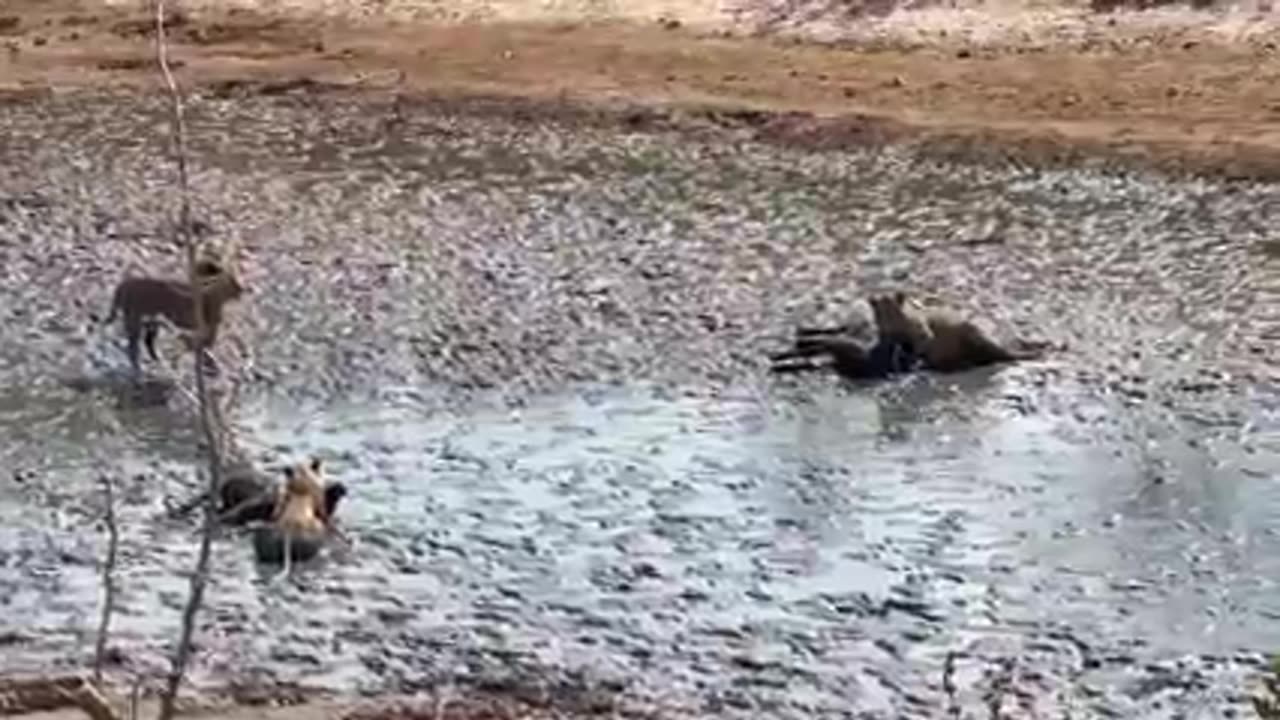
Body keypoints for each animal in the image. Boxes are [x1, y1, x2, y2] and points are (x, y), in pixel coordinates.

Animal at [96, 253, 243, 376]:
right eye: (233, 281)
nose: (241, 290)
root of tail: (122, 285)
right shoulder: (206, 329)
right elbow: (201, 345)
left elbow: (199, 345)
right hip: (135, 318)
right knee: (133, 347)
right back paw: (139, 372)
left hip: (149, 320)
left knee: (146, 342)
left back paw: (155, 361)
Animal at [865, 288, 1054, 371]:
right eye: (877, 304)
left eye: (888, 299)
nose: (872, 298)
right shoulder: (888, 332)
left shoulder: (920, 326)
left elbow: (924, 339)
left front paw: (913, 360)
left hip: (975, 331)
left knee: (1001, 352)